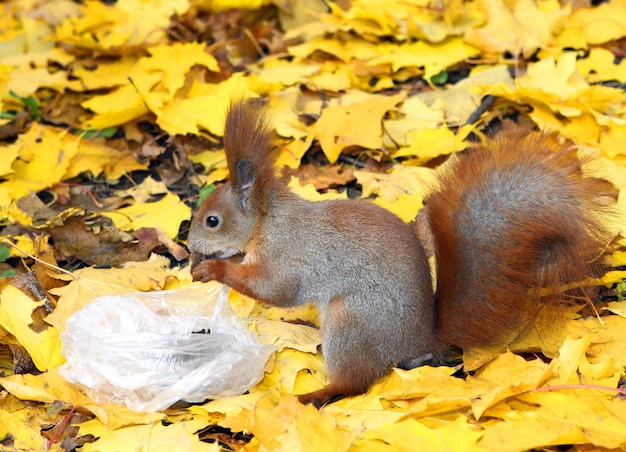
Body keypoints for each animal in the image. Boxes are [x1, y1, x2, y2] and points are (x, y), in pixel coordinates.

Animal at [186, 99, 616, 410]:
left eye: (212, 220)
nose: (189, 247)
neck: (268, 223)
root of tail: (421, 338)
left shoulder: (291, 256)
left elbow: (274, 290)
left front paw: (213, 269)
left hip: (351, 321)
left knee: (356, 382)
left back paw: (314, 395)